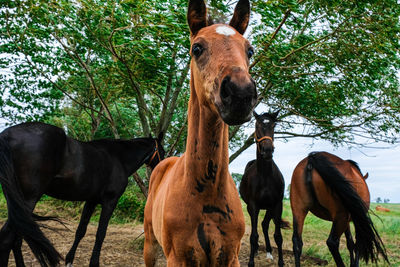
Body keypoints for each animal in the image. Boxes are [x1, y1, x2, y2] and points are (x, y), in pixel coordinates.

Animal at [0, 122, 164, 267]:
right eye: (161, 151)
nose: (162, 165)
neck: (119, 158)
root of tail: (6, 135)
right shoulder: (110, 201)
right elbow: (100, 233)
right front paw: (94, 263)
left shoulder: (91, 201)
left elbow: (81, 231)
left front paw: (69, 260)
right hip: (28, 200)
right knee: (8, 239)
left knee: (16, 239)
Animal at [144, 0, 256, 266]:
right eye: (197, 48)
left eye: (249, 50)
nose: (240, 93)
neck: (207, 196)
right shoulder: (178, 257)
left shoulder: (230, 257)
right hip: (150, 245)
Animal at [239, 111, 286, 267]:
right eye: (257, 125)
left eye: (273, 126)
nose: (267, 151)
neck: (265, 176)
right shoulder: (254, 206)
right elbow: (253, 236)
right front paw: (251, 262)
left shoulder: (277, 205)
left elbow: (278, 236)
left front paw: (281, 262)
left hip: (270, 208)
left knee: (265, 225)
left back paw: (269, 252)